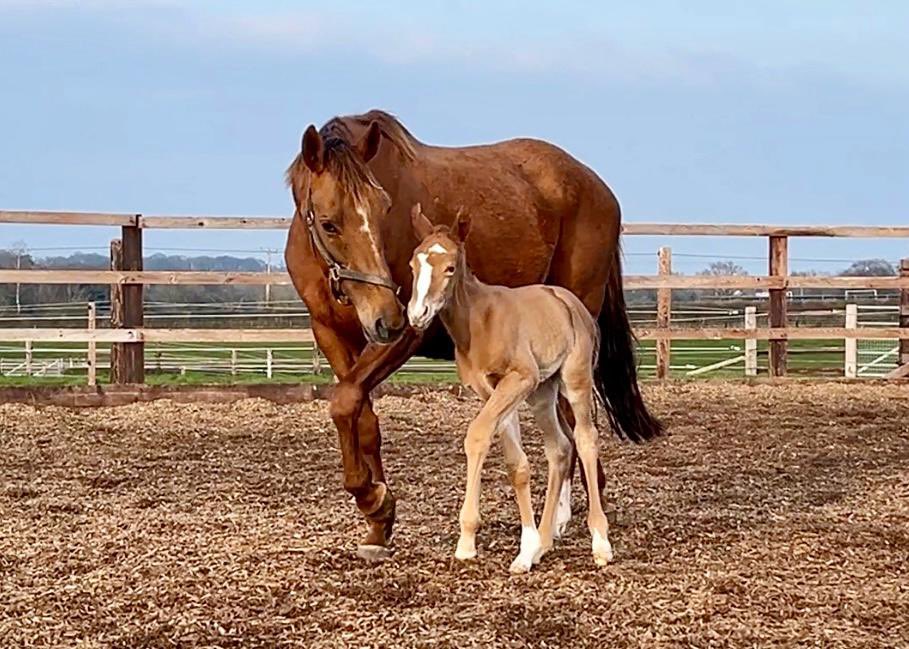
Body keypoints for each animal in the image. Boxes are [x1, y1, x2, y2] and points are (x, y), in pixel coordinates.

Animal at [408, 204, 612, 572]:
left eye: (450, 267)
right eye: (413, 265)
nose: (418, 314)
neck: (480, 321)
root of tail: (571, 303)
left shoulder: (519, 379)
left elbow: (477, 435)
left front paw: (468, 543)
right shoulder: (492, 390)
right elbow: (516, 464)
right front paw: (526, 548)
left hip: (573, 380)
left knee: (586, 440)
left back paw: (600, 544)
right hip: (543, 393)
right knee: (559, 448)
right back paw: (544, 543)